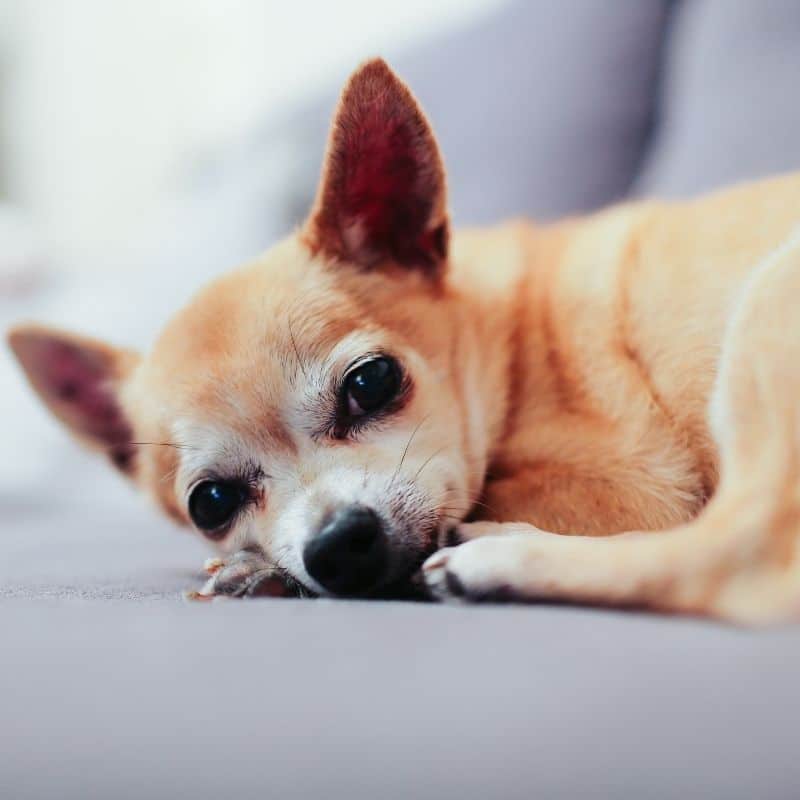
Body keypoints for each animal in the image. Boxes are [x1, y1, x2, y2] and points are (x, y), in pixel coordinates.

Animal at [6, 61, 800, 624]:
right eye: (211, 504)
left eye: (371, 383)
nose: (335, 544)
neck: (504, 338)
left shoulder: (627, 488)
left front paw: (263, 572)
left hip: (767, 303)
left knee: (738, 555)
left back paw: (499, 561)